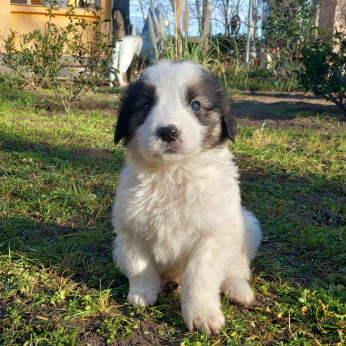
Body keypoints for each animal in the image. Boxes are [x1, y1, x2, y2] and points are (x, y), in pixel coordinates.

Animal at [112, 60, 260, 334]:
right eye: (146, 106)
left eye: (196, 105)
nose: (168, 132)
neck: (173, 174)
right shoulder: (130, 229)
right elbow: (140, 265)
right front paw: (143, 293)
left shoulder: (215, 235)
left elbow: (200, 276)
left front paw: (203, 314)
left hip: (248, 227)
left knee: (237, 268)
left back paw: (238, 290)